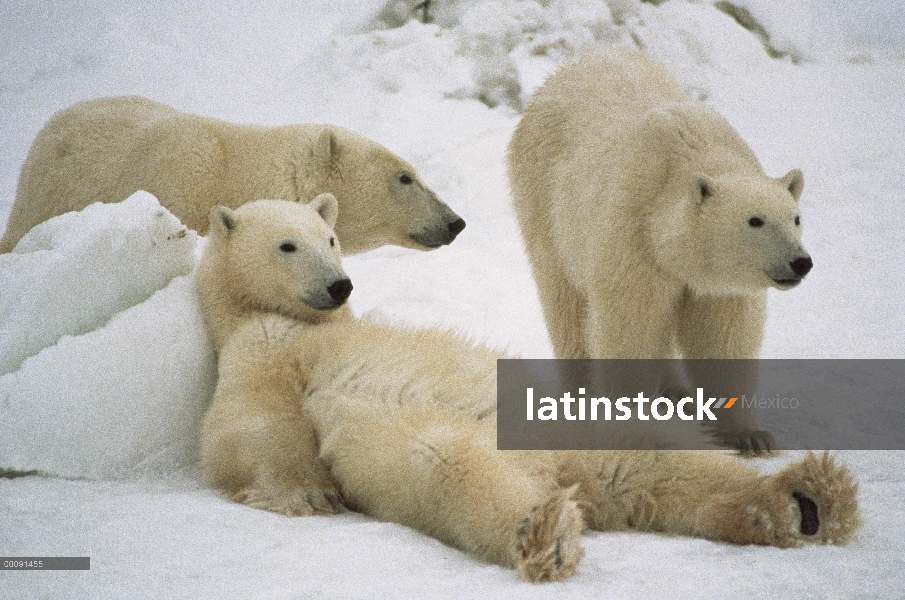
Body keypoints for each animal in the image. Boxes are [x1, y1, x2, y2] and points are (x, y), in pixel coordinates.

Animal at [196, 199, 856, 584]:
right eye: (287, 244)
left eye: (329, 238)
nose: (339, 285)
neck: (311, 324)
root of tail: (555, 470)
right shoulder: (259, 347)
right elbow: (245, 426)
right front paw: (308, 495)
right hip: (434, 445)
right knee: (450, 469)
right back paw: (546, 533)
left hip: (577, 426)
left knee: (655, 465)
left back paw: (805, 501)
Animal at [508, 49, 812, 452]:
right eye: (755, 220)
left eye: (795, 218)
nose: (800, 262)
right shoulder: (633, 235)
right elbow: (630, 321)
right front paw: (628, 420)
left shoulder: (717, 283)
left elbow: (724, 334)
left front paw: (750, 436)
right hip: (545, 204)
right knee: (566, 304)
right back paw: (580, 394)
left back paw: (675, 392)